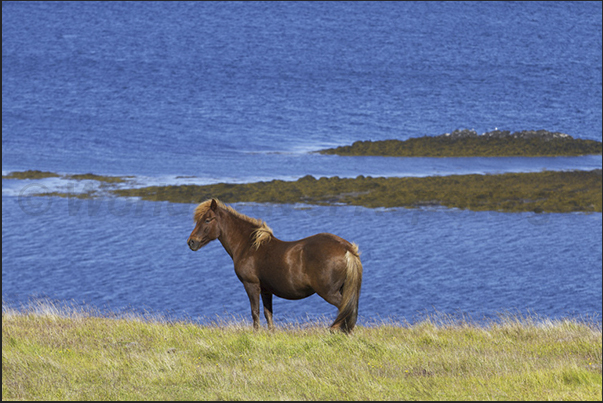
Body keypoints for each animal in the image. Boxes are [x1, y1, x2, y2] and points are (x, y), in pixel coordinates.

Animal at [186, 199, 364, 334]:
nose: (191, 242)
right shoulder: (266, 289)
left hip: (329, 292)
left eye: (207, 219)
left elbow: (255, 312)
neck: (249, 246)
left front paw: (256, 333)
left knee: (345, 309)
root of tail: (347, 249)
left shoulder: (251, 285)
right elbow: (268, 313)